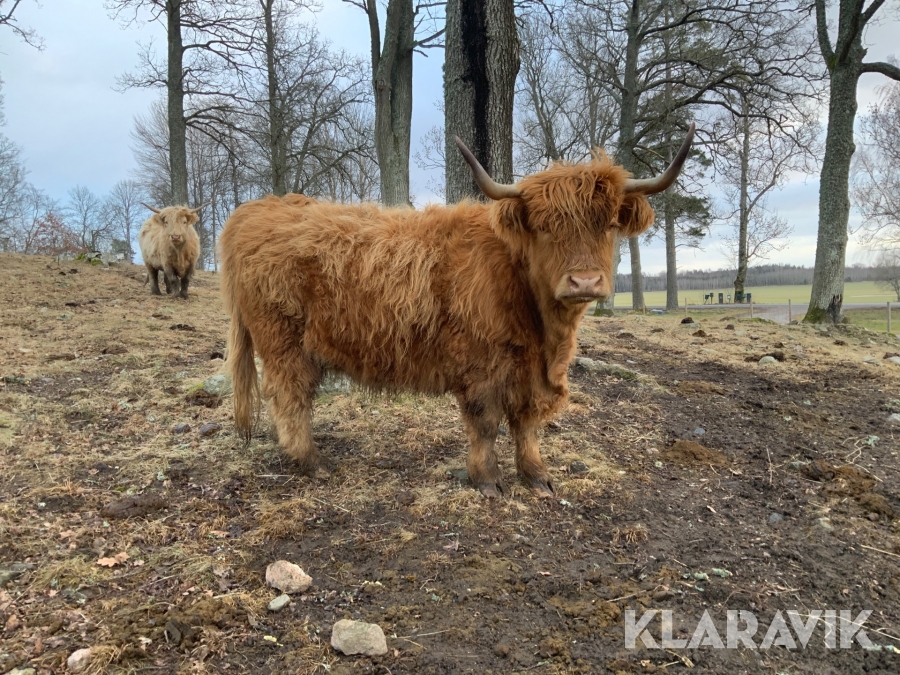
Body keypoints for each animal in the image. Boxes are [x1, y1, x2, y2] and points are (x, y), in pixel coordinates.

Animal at [220, 124, 695, 498]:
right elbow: (486, 423)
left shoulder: (533, 372)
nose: (584, 282)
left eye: (609, 224)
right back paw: (310, 461)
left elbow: (528, 422)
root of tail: (257, 208)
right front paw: (486, 480)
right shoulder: (480, 365)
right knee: (290, 395)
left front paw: (536, 475)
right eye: (544, 226)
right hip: (282, 340)